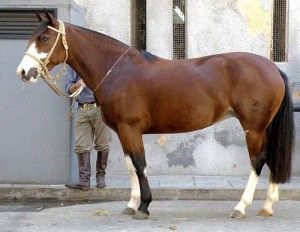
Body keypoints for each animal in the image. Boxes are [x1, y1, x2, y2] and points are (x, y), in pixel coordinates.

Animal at [15, 12, 292, 219]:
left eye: (45, 37)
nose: (23, 72)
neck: (118, 70)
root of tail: (273, 68)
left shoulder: (130, 128)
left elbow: (140, 164)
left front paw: (144, 206)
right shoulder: (123, 131)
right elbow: (131, 166)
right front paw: (131, 204)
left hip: (253, 128)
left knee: (258, 161)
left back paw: (241, 207)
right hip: (263, 128)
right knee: (271, 159)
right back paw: (267, 206)